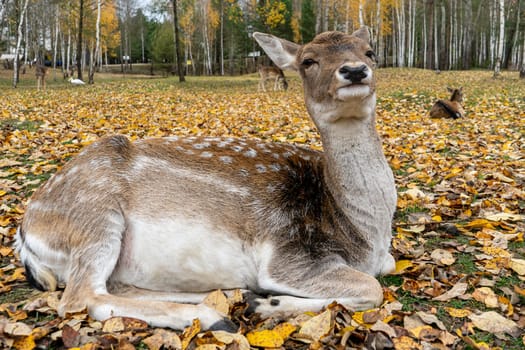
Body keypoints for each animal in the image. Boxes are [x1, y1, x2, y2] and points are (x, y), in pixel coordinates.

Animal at [15, 28, 398, 330]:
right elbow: (371, 287)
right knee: (81, 297)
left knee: (116, 286)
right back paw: (213, 317)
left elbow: (385, 270)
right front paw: (269, 303)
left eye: (370, 51)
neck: (364, 233)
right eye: (308, 60)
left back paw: (227, 293)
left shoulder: (380, 257)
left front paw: (262, 301)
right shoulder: (288, 255)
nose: (354, 70)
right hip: (94, 218)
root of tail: (25, 235)